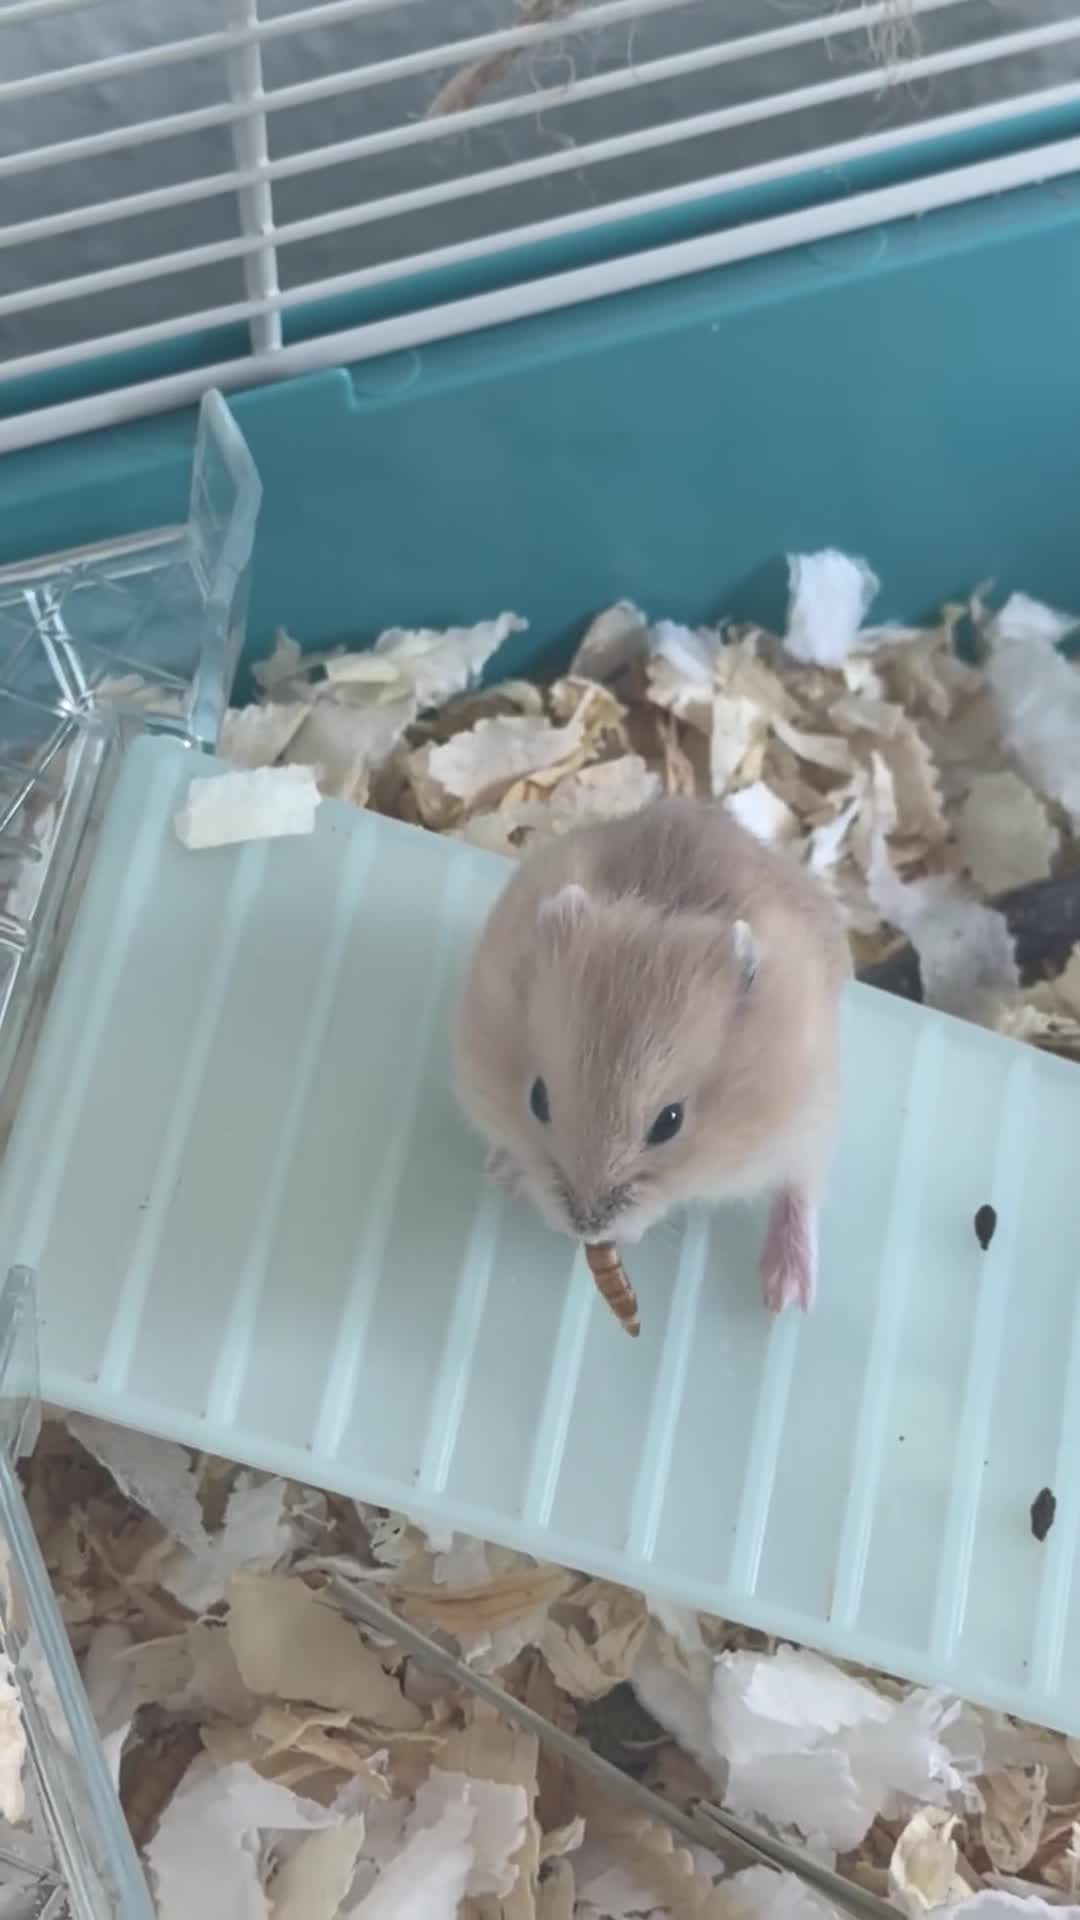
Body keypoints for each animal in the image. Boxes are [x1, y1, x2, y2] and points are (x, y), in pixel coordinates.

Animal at [453, 797, 851, 1312]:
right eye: (537, 1099)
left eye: (670, 1122)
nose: (586, 1229)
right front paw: (509, 1172)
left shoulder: (802, 1116)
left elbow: (797, 1189)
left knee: (799, 1191)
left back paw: (787, 1296)